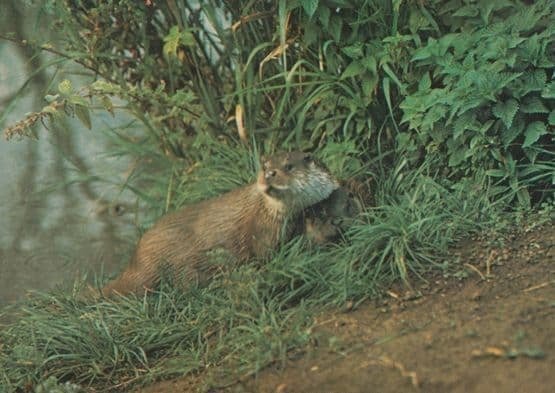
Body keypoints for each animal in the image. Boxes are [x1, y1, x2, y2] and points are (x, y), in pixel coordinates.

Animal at [102, 150, 340, 294]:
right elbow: (264, 252)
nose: (269, 174)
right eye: (264, 166)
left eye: (289, 166)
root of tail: (136, 260)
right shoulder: (262, 230)